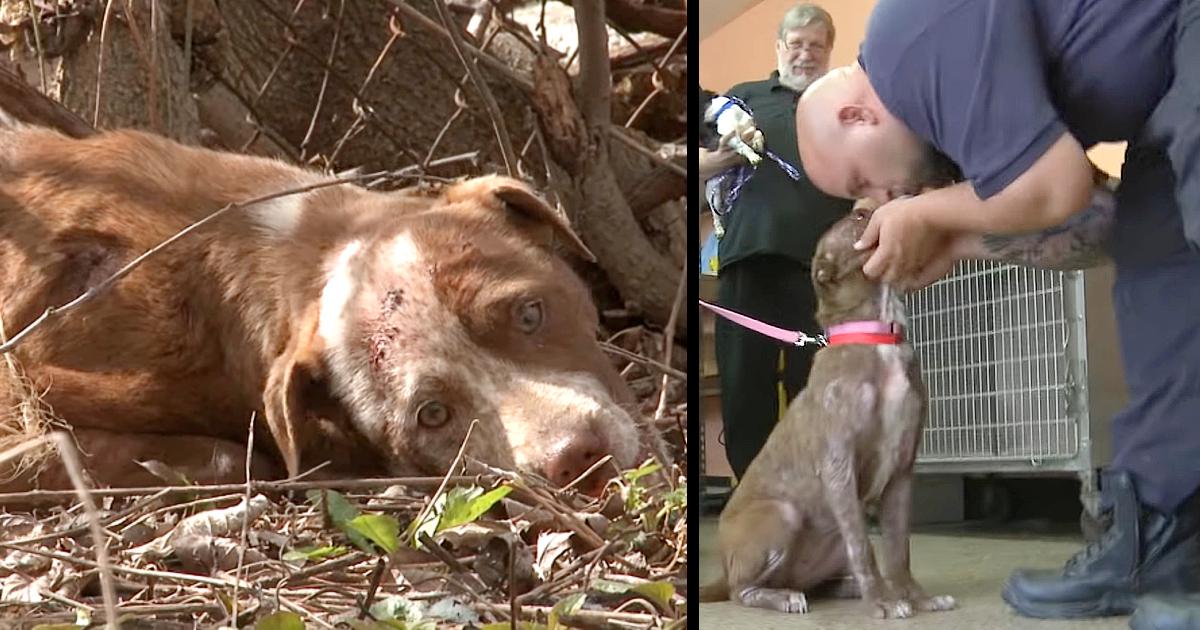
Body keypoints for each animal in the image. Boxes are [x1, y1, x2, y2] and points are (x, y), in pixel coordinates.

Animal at [696, 207, 955, 619]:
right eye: (857, 219)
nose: (870, 205)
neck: (877, 335)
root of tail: (723, 567)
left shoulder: (902, 469)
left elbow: (898, 551)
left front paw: (916, 598)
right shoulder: (839, 466)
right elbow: (864, 547)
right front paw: (882, 602)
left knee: (821, 582)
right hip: (781, 515)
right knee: (742, 590)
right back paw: (782, 597)